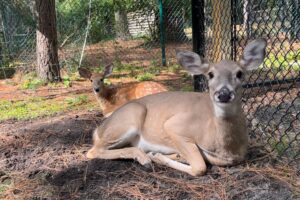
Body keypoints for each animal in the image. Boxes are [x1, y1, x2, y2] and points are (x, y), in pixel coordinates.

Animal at [86, 39, 268, 177]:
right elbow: (199, 168)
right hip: (131, 115)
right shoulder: (174, 126)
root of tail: (98, 129)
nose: (223, 94)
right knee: (93, 151)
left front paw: (167, 155)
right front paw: (157, 157)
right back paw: (146, 159)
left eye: (239, 73)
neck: (227, 147)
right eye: (210, 74)